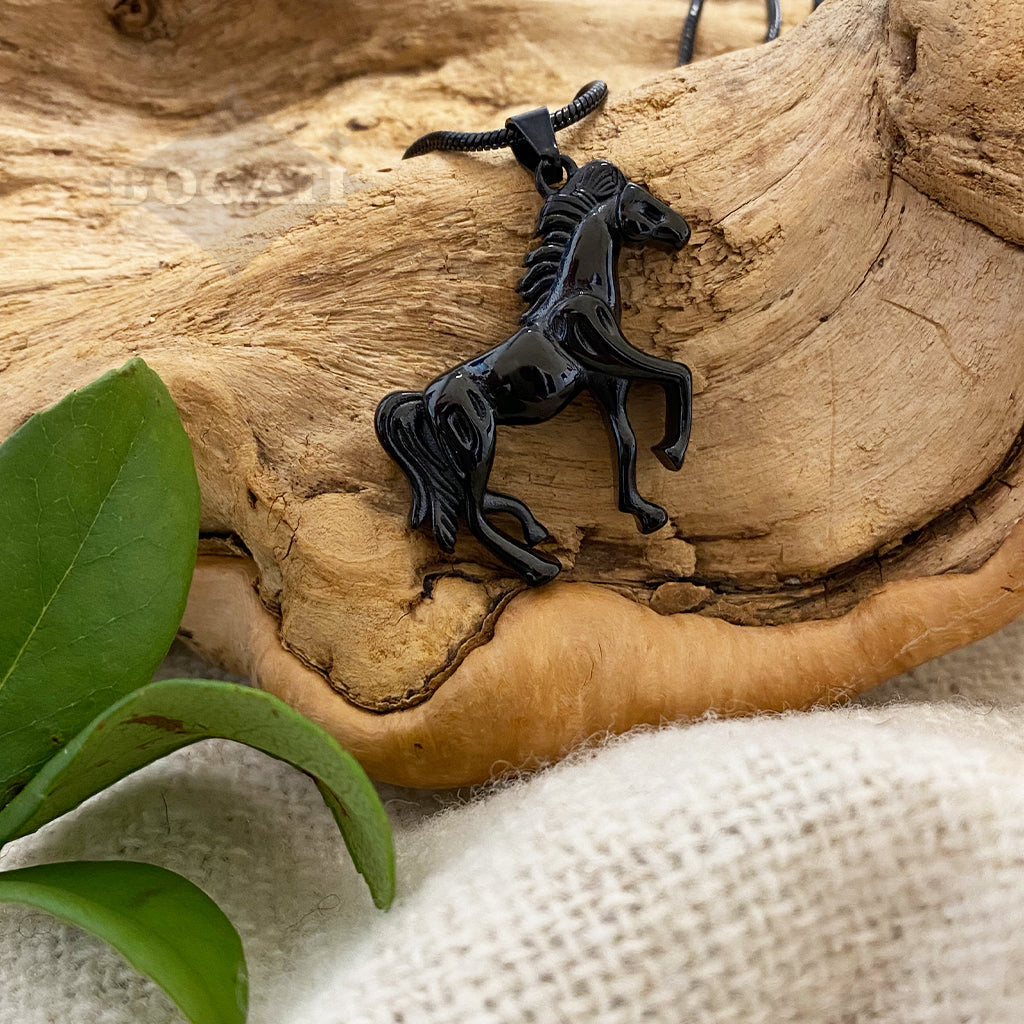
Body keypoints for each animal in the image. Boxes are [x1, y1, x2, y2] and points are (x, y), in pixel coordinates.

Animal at [375, 159, 693, 586]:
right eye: (646, 206)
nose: (683, 232)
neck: (579, 291)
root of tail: (425, 399)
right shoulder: (611, 356)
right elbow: (678, 373)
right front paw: (671, 453)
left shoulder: (607, 383)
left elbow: (626, 442)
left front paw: (646, 513)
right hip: (479, 441)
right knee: (473, 516)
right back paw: (541, 567)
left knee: (479, 501)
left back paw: (536, 531)